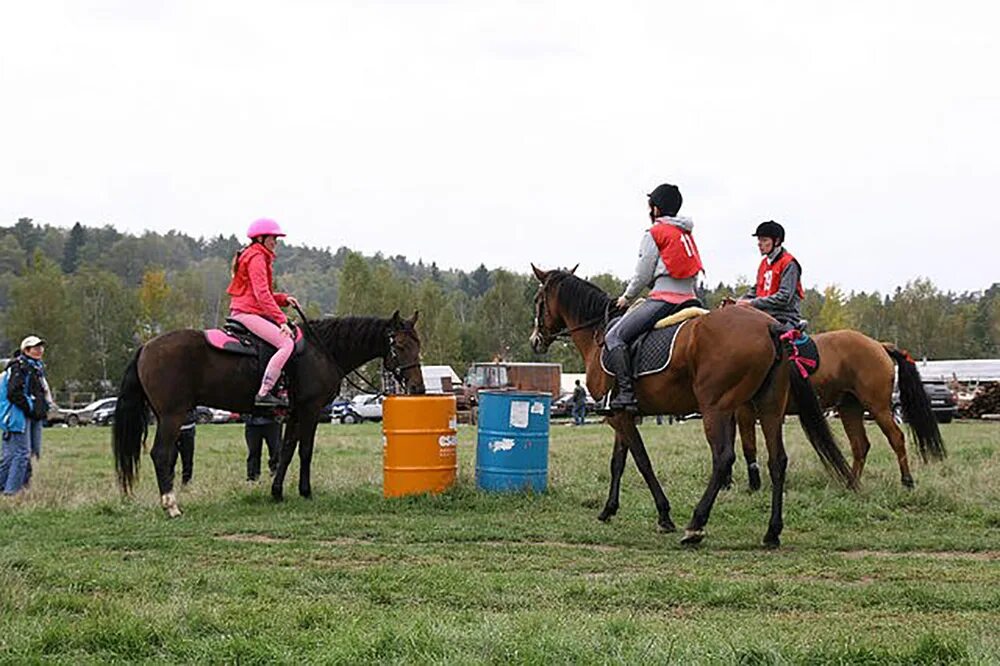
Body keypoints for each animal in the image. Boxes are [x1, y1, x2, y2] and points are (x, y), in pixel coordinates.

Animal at [114, 308, 426, 516]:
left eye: (418, 344)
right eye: (399, 346)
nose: (418, 388)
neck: (321, 350)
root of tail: (146, 346)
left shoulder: (295, 414)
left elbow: (286, 450)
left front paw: (277, 492)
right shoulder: (310, 410)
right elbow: (305, 451)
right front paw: (305, 491)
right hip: (172, 416)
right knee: (160, 454)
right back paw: (171, 505)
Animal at [528, 264, 856, 544]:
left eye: (537, 300)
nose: (535, 340)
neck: (601, 334)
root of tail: (771, 327)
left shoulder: (620, 418)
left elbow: (642, 462)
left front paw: (664, 515)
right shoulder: (621, 415)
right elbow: (618, 462)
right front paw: (609, 509)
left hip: (715, 410)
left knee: (723, 459)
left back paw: (696, 524)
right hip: (769, 408)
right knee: (777, 461)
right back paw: (772, 532)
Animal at [736, 326, 944, 488]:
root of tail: (879, 345)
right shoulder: (744, 410)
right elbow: (748, 445)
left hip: (878, 408)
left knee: (896, 438)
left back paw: (907, 481)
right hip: (849, 409)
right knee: (860, 445)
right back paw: (851, 483)